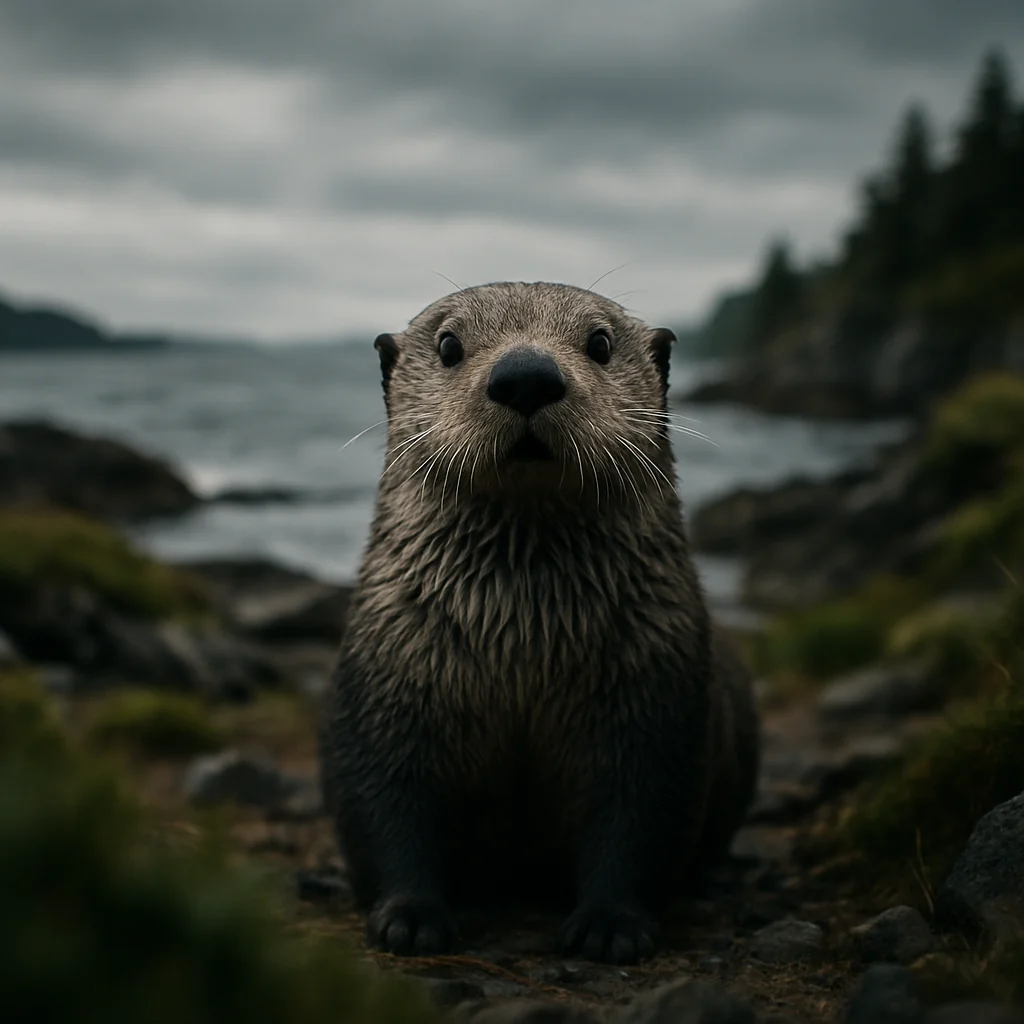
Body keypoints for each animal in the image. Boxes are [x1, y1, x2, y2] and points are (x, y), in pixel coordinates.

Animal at [319, 281, 759, 965]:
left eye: (600, 342)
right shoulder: (386, 687)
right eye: (449, 344)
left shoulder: (656, 698)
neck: (522, 651)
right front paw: (410, 918)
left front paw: (609, 925)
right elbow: (385, 806)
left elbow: (641, 817)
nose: (526, 375)